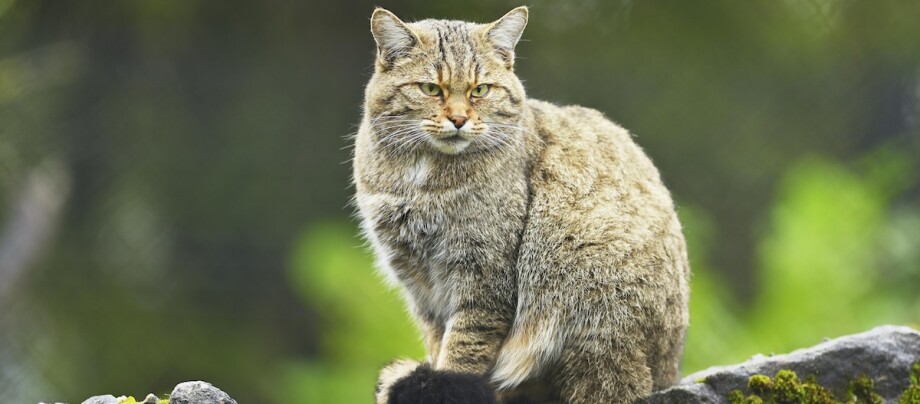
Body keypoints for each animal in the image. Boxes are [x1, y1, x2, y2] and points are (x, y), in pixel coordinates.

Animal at [352, 6, 688, 404]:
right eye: (431, 89)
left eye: (480, 90)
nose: (459, 119)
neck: (420, 177)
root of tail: (667, 374)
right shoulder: (419, 284)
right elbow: (438, 344)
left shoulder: (483, 275)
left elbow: (462, 352)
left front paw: (445, 383)